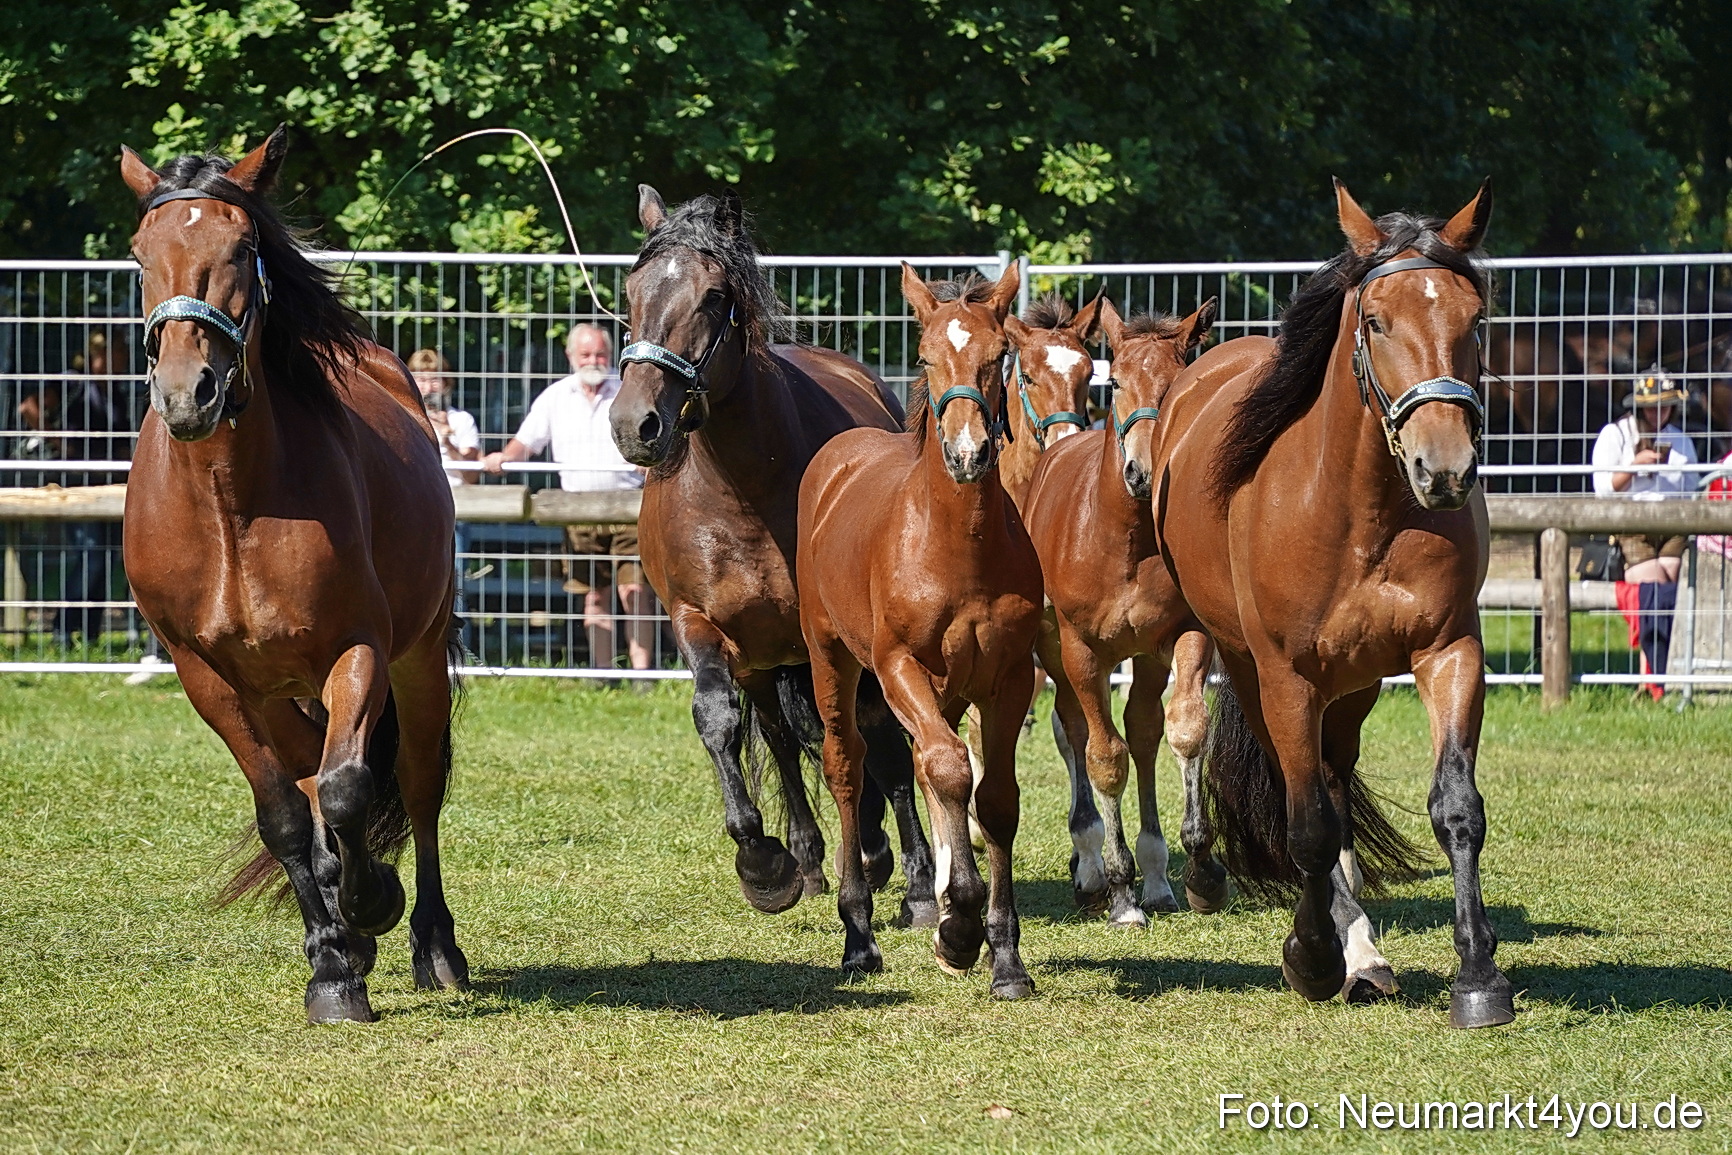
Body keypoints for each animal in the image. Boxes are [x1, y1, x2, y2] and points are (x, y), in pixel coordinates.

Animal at [118, 127, 467, 1024]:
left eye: (242, 248)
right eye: (139, 252)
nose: (188, 393)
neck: (231, 508)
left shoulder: (360, 650)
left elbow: (348, 789)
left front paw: (371, 902)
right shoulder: (208, 677)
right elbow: (283, 811)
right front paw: (334, 965)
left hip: (416, 657)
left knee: (413, 784)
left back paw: (430, 943)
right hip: (277, 694)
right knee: (310, 779)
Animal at [608, 186, 936, 925]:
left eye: (712, 296)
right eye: (632, 290)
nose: (634, 424)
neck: (746, 487)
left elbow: (880, 745)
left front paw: (918, 883)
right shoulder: (699, 624)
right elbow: (719, 720)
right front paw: (763, 861)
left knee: (862, 736)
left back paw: (880, 854)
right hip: (762, 657)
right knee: (785, 737)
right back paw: (812, 858)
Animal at [797, 262, 1043, 996]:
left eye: (999, 357)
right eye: (927, 357)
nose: (968, 454)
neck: (957, 548)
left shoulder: (1007, 679)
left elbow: (991, 797)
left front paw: (1003, 956)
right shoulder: (897, 665)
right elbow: (947, 767)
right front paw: (959, 928)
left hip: (949, 688)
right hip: (832, 660)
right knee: (849, 768)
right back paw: (858, 937)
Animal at [1022, 296, 1226, 927]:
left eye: (1178, 383)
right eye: (1115, 385)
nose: (1142, 471)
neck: (1125, 538)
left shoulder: (1184, 634)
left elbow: (1183, 727)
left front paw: (1202, 866)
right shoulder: (1082, 650)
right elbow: (1103, 755)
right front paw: (1118, 890)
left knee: (1143, 729)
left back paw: (1157, 876)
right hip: (1053, 652)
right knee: (1079, 729)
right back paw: (1095, 871)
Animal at [1154, 179, 1512, 1028]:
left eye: (1474, 318)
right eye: (1376, 320)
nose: (1445, 467)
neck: (1361, 516)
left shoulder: (1449, 651)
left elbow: (1457, 807)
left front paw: (1478, 975)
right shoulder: (1287, 679)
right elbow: (1308, 826)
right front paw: (1311, 957)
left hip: (1356, 686)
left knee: (1338, 778)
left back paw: (1366, 948)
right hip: (1256, 668)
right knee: (1309, 795)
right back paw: (1343, 946)